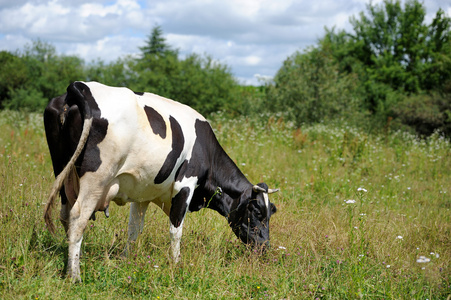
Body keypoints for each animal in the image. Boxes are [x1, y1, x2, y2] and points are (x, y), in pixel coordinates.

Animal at [45, 81, 278, 282]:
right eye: (257, 212)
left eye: (269, 214)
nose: (264, 247)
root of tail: (80, 87)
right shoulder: (185, 184)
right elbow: (176, 230)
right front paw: (176, 264)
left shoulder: (142, 193)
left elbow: (134, 230)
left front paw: (126, 260)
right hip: (96, 177)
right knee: (77, 217)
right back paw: (75, 275)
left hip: (63, 172)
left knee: (65, 215)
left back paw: (69, 265)